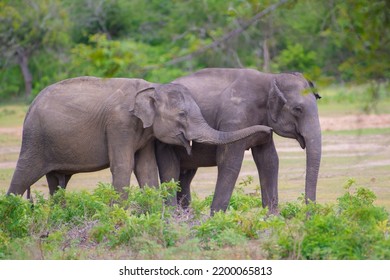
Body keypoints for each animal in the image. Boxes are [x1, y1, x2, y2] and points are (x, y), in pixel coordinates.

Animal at [8, 75, 272, 198]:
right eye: (182, 114)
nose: (268, 130)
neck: (154, 87)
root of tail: (29, 107)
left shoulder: (145, 132)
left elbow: (146, 169)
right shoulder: (119, 124)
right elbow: (123, 166)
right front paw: (118, 217)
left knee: (57, 182)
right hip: (35, 139)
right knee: (23, 175)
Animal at [155, 67, 322, 212]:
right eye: (297, 109)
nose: (308, 216)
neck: (269, 78)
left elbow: (269, 161)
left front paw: (272, 219)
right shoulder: (233, 119)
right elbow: (230, 163)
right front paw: (216, 220)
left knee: (185, 177)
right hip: (165, 141)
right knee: (171, 171)